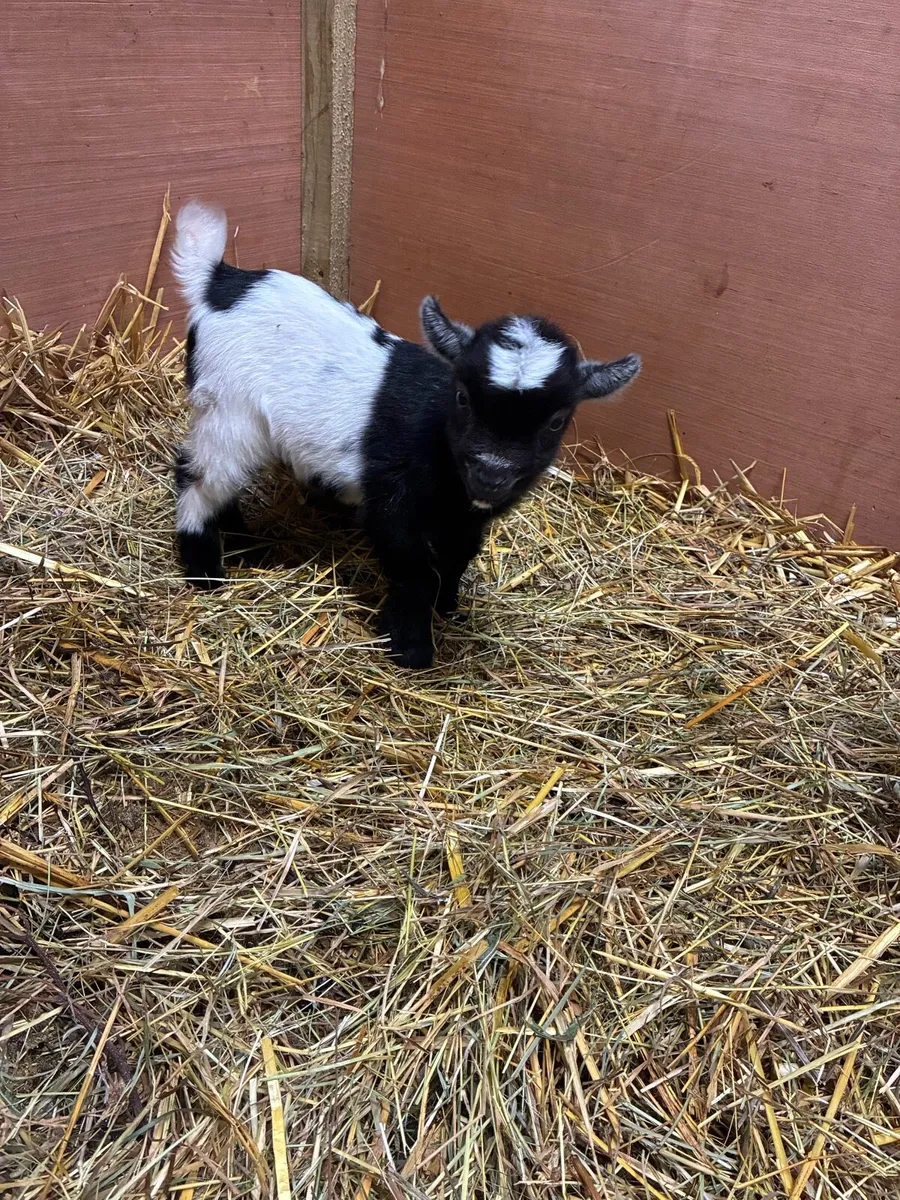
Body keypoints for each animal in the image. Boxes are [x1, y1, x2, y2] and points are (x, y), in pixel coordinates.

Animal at [171, 201, 641, 668]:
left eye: (557, 420)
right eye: (462, 397)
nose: (491, 472)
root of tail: (220, 280)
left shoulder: (464, 517)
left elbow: (456, 558)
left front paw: (448, 608)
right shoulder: (391, 499)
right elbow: (414, 570)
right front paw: (410, 647)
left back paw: (246, 546)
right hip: (228, 408)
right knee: (198, 478)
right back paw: (205, 573)